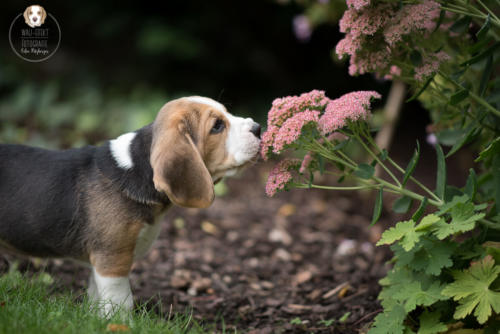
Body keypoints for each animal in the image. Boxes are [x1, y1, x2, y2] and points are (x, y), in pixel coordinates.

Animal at [0, 96, 260, 314]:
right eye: (217, 126)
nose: (258, 128)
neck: (138, 168)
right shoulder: (112, 261)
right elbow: (121, 302)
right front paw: (119, 324)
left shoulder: (100, 262)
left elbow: (97, 298)